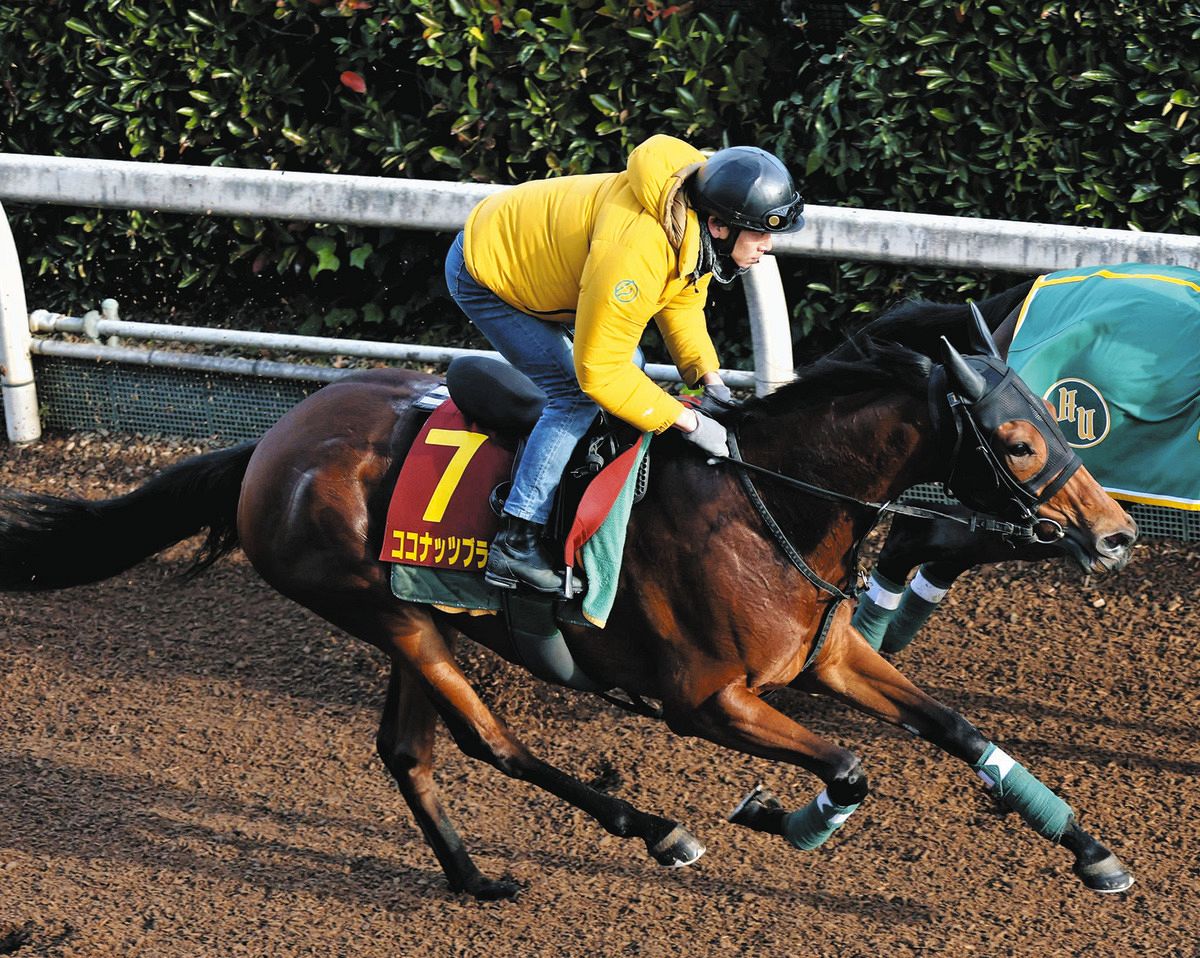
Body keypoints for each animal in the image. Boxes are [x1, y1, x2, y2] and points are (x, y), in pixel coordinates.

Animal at [0, 296, 1139, 900]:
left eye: (1057, 416)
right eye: (1019, 440)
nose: (1118, 533)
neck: (764, 500)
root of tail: (270, 444)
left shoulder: (823, 655)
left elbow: (955, 726)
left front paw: (1090, 850)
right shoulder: (704, 701)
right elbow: (851, 768)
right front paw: (786, 817)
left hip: (412, 618)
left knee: (408, 751)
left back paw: (472, 877)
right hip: (387, 612)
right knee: (490, 742)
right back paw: (656, 829)